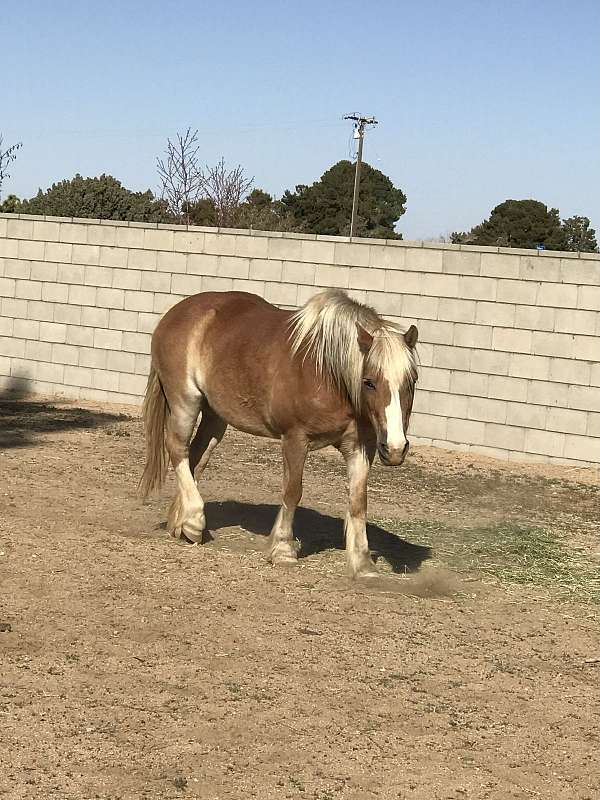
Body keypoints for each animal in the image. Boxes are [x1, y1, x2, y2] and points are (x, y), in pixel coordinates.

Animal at [140, 290, 418, 580]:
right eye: (369, 382)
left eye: (411, 381)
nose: (395, 449)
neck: (327, 373)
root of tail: (175, 313)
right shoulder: (296, 438)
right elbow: (292, 491)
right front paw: (283, 549)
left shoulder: (360, 447)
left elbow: (358, 501)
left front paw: (363, 564)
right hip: (186, 401)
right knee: (177, 448)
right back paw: (194, 520)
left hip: (215, 416)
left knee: (196, 457)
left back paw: (181, 525)